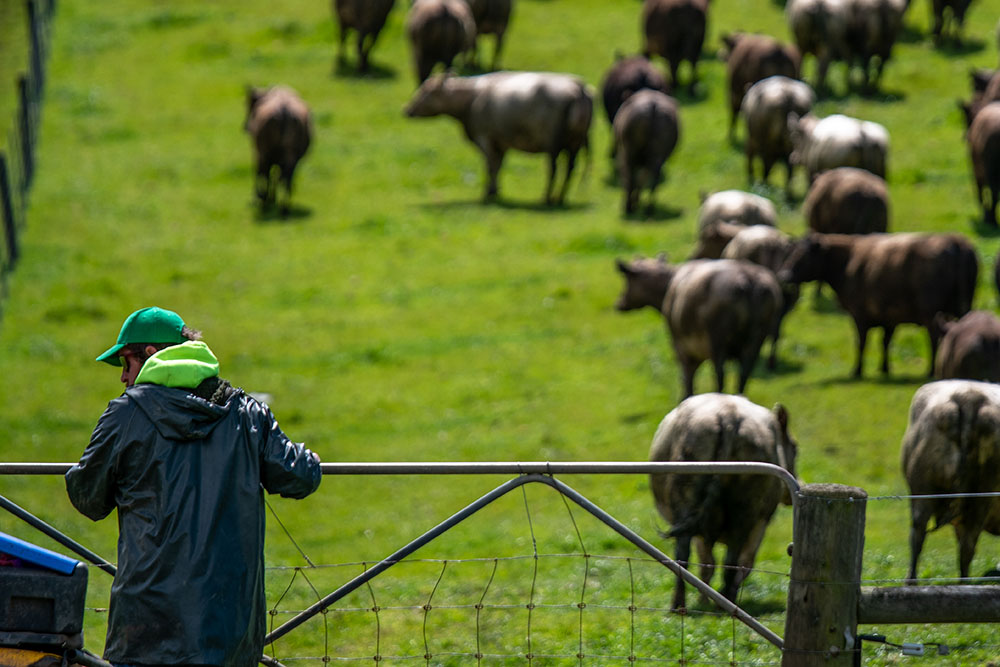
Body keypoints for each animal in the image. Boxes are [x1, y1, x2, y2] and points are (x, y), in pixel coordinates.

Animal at [243, 85, 312, 215]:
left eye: (249, 105)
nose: (245, 127)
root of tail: (284, 109)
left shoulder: (258, 154)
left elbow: (261, 174)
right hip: (290, 158)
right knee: (285, 179)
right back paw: (284, 208)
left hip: (264, 154)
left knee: (265, 174)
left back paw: (265, 201)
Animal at [404, 71, 593, 205]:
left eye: (425, 91)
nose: (407, 109)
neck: (471, 98)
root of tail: (579, 88)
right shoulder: (501, 143)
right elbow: (499, 166)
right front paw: (496, 192)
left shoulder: (485, 138)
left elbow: (490, 166)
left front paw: (488, 194)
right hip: (574, 143)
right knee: (570, 169)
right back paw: (560, 198)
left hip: (553, 142)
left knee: (553, 169)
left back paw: (546, 198)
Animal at [615, 256, 783, 398]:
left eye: (626, 280)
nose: (619, 303)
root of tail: (747, 278)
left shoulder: (681, 347)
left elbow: (686, 380)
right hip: (756, 340)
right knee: (743, 375)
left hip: (717, 340)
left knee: (720, 376)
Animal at [649, 393, 797, 609]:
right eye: (795, 448)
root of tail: (728, 416)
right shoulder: (760, 524)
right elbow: (741, 564)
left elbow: (709, 564)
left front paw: (706, 599)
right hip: (745, 510)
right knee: (732, 559)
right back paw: (724, 602)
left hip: (688, 499)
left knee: (684, 554)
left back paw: (680, 604)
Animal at [778, 233, 978, 378]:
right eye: (791, 252)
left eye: (802, 255)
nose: (784, 275)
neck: (848, 262)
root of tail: (955, 240)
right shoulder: (889, 316)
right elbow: (885, 342)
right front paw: (884, 369)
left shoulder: (859, 315)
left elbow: (861, 343)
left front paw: (857, 371)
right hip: (962, 308)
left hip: (930, 312)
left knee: (934, 338)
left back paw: (930, 371)